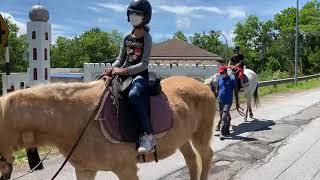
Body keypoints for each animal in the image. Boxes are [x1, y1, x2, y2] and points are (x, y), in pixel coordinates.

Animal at [0, 76, 216, 180]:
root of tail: (204, 86)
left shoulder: (126, 169)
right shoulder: (85, 171)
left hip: (200, 135)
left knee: (206, 156)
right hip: (183, 138)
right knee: (192, 160)